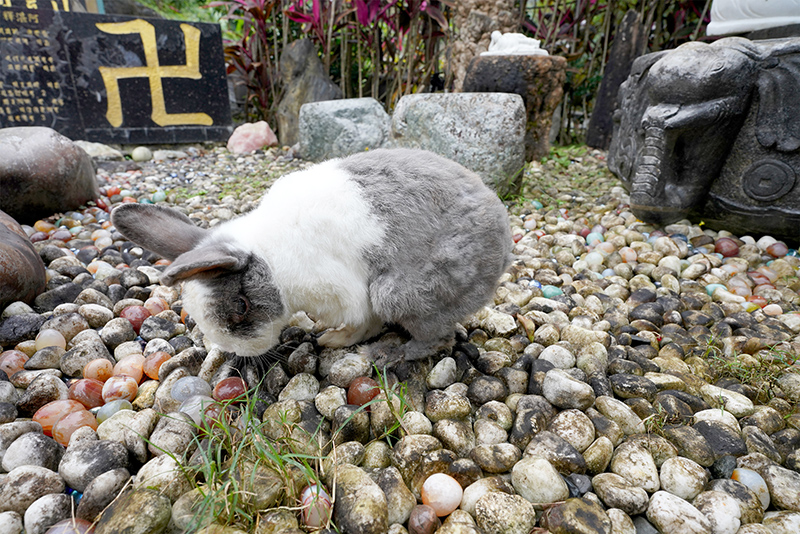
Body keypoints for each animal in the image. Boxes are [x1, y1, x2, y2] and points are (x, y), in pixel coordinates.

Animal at [111, 149, 512, 366]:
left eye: (241, 306)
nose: (238, 352)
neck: (272, 262)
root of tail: (503, 244)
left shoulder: (347, 294)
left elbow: (360, 323)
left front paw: (330, 341)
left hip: (401, 293)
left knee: (437, 337)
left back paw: (388, 355)